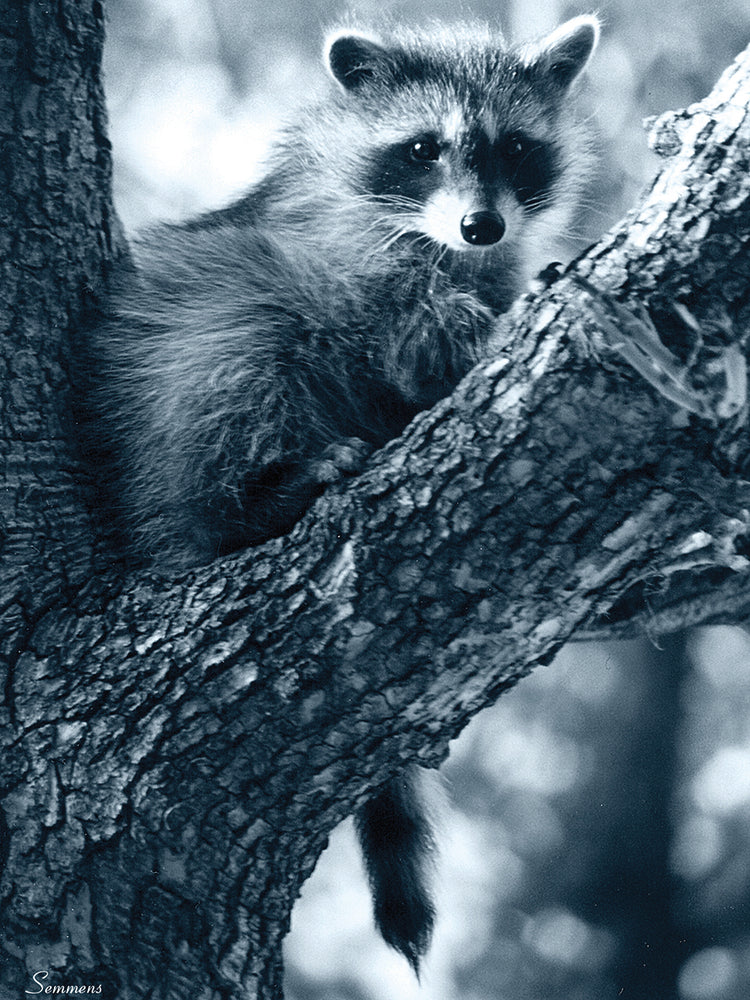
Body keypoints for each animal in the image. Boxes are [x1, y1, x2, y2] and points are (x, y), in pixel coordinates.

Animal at [89, 14, 599, 972]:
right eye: (423, 148)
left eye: (516, 146)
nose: (481, 224)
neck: (437, 244)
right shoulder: (340, 257)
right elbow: (404, 338)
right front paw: (472, 332)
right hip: (180, 378)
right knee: (238, 342)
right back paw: (255, 501)